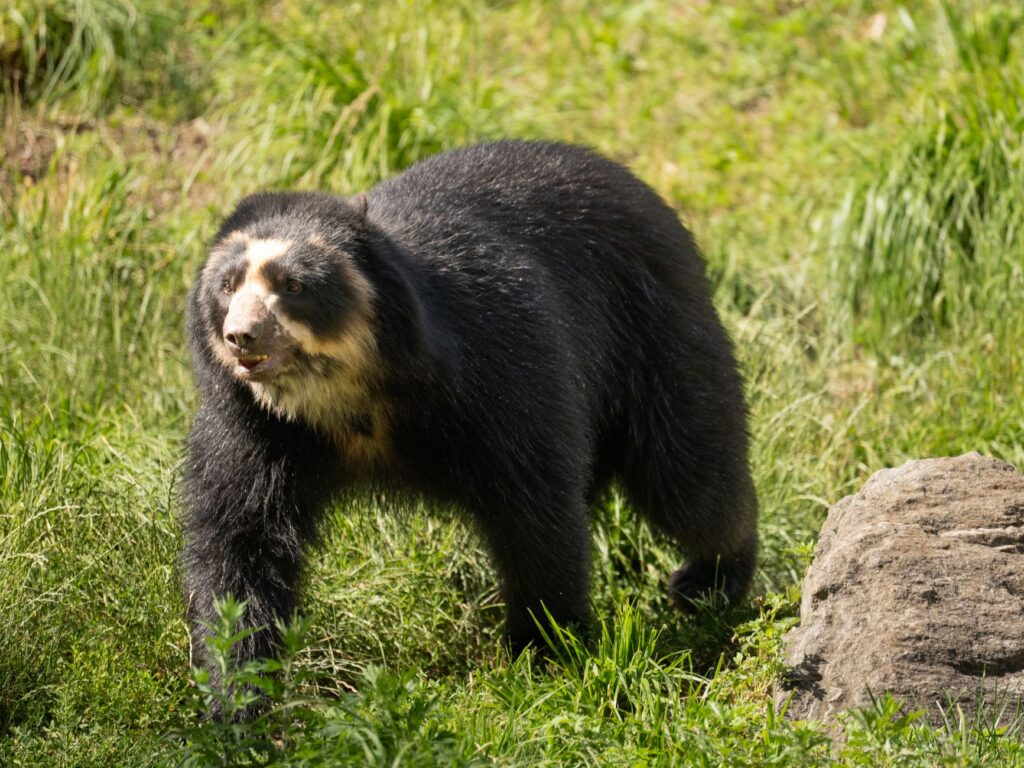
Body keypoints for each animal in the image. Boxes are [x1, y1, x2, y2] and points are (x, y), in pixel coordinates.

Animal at [182, 140, 758, 694]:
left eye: (293, 286)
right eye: (227, 286)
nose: (241, 336)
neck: (346, 396)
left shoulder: (494, 375)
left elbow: (536, 509)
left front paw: (547, 650)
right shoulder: (255, 427)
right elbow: (239, 542)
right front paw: (239, 692)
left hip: (656, 331)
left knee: (687, 470)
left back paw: (711, 581)